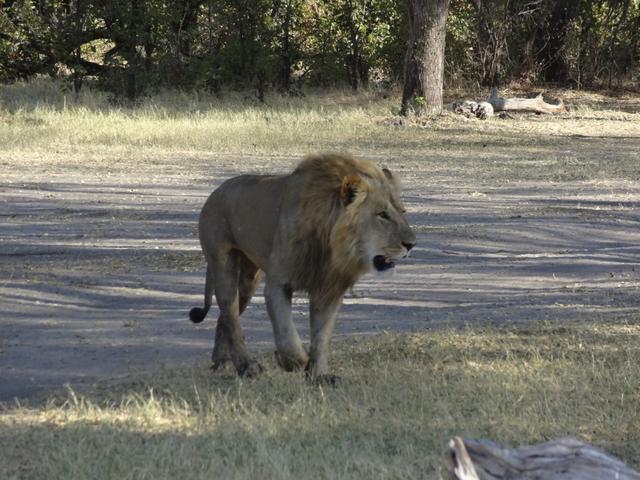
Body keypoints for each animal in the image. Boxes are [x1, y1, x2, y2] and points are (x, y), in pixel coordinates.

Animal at [188, 152, 418, 380]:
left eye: (403, 211)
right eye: (382, 214)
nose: (412, 244)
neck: (332, 246)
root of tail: (217, 191)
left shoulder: (329, 288)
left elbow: (321, 335)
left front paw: (319, 375)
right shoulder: (278, 283)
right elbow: (286, 334)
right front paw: (294, 361)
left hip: (248, 281)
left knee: (225, 318)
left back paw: (222, 362)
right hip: (223, 264)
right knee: (230, 314)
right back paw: (247, 367)